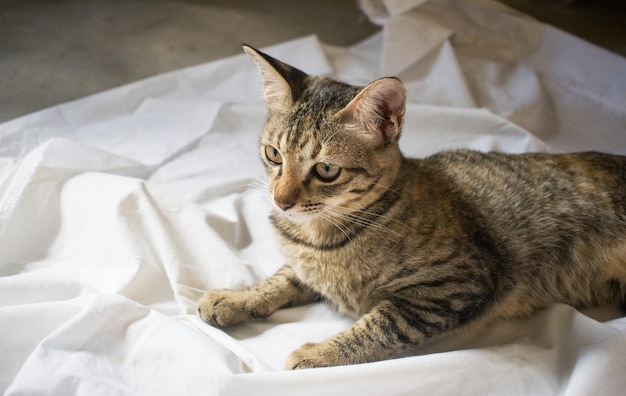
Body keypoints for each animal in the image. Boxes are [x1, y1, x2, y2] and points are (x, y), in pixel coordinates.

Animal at [197, 44, 624, 370]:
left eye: (326, 170)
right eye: (274, 155)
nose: (281, 200)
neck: (324, 237)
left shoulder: (455, 284)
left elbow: (381, 326)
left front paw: (317, 354)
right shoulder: (306, 265)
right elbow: (284, 276)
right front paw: (237, 297)